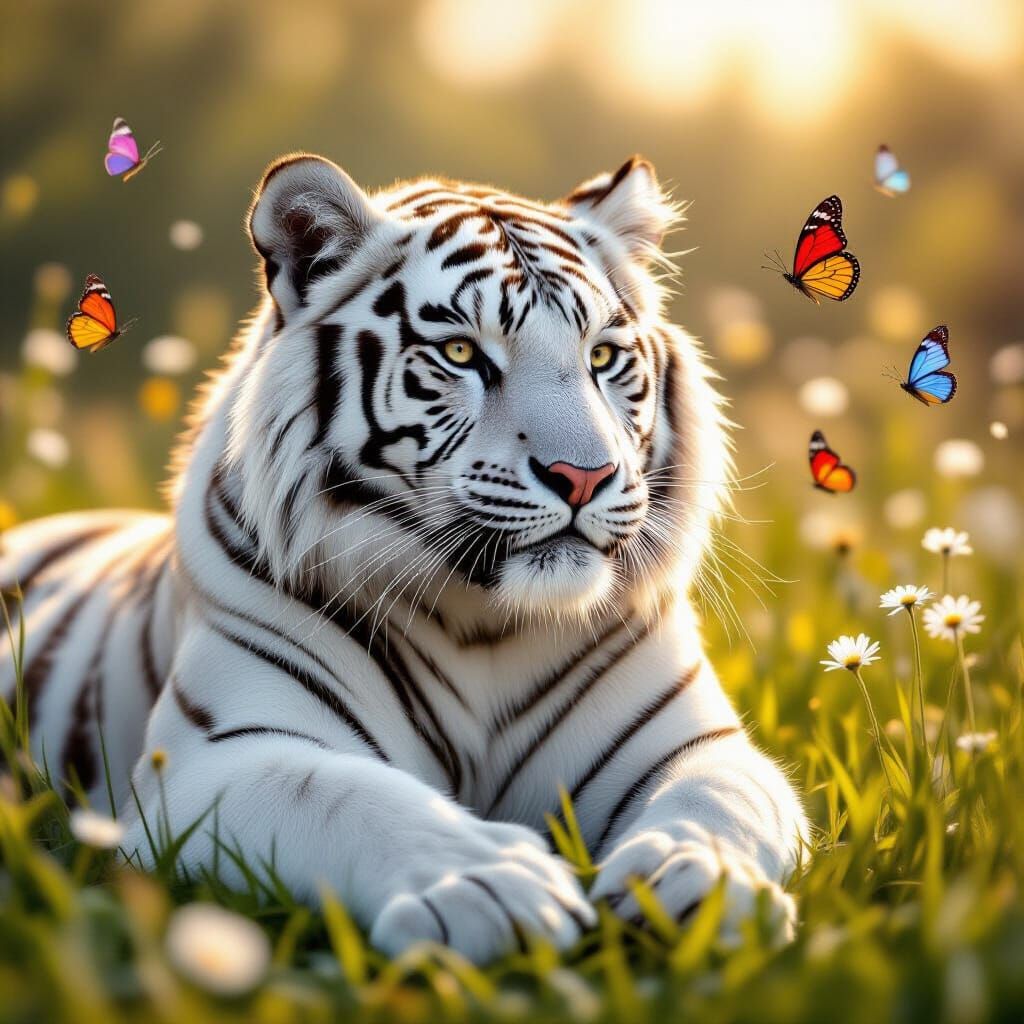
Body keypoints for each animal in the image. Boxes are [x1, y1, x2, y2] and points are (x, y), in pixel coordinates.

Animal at [0, 154, 807, 962]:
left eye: (602, 356)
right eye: (460, 353)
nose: (583, 476)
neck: (486, 623)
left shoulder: (692, 742)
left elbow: (720, 797)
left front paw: (700, 886)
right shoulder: (214, 760)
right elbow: (347, 798)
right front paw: (489, 889)